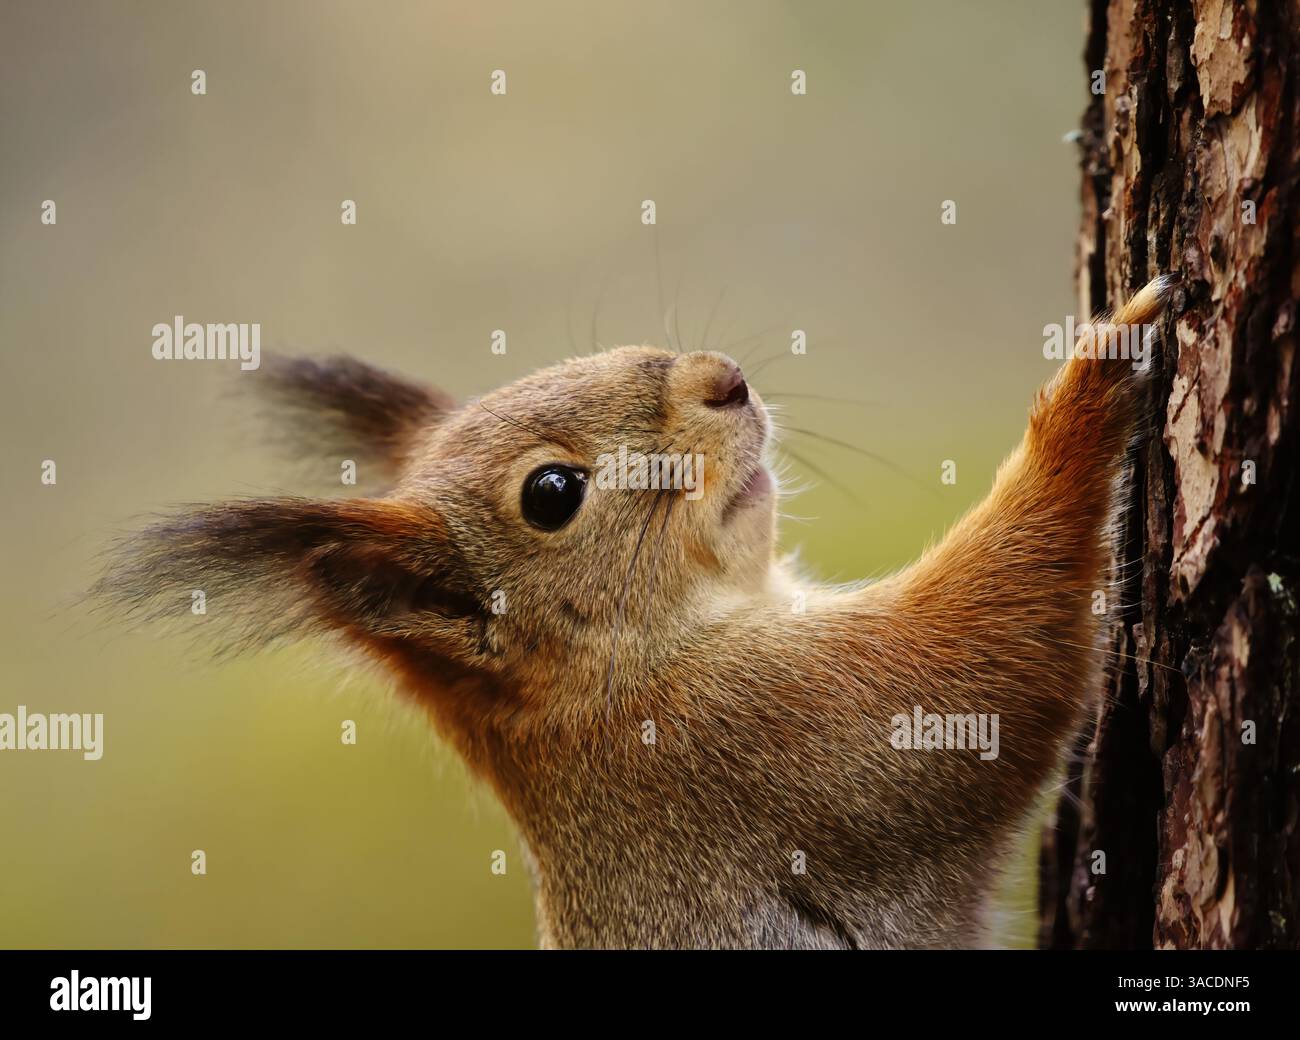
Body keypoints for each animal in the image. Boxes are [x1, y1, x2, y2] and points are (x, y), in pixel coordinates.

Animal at [101, 276, 1175, 948]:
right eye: (551, 494)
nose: (724, 379)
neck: (609, 684)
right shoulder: (778, 740)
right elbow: (985, 660)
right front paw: (1094, 382)